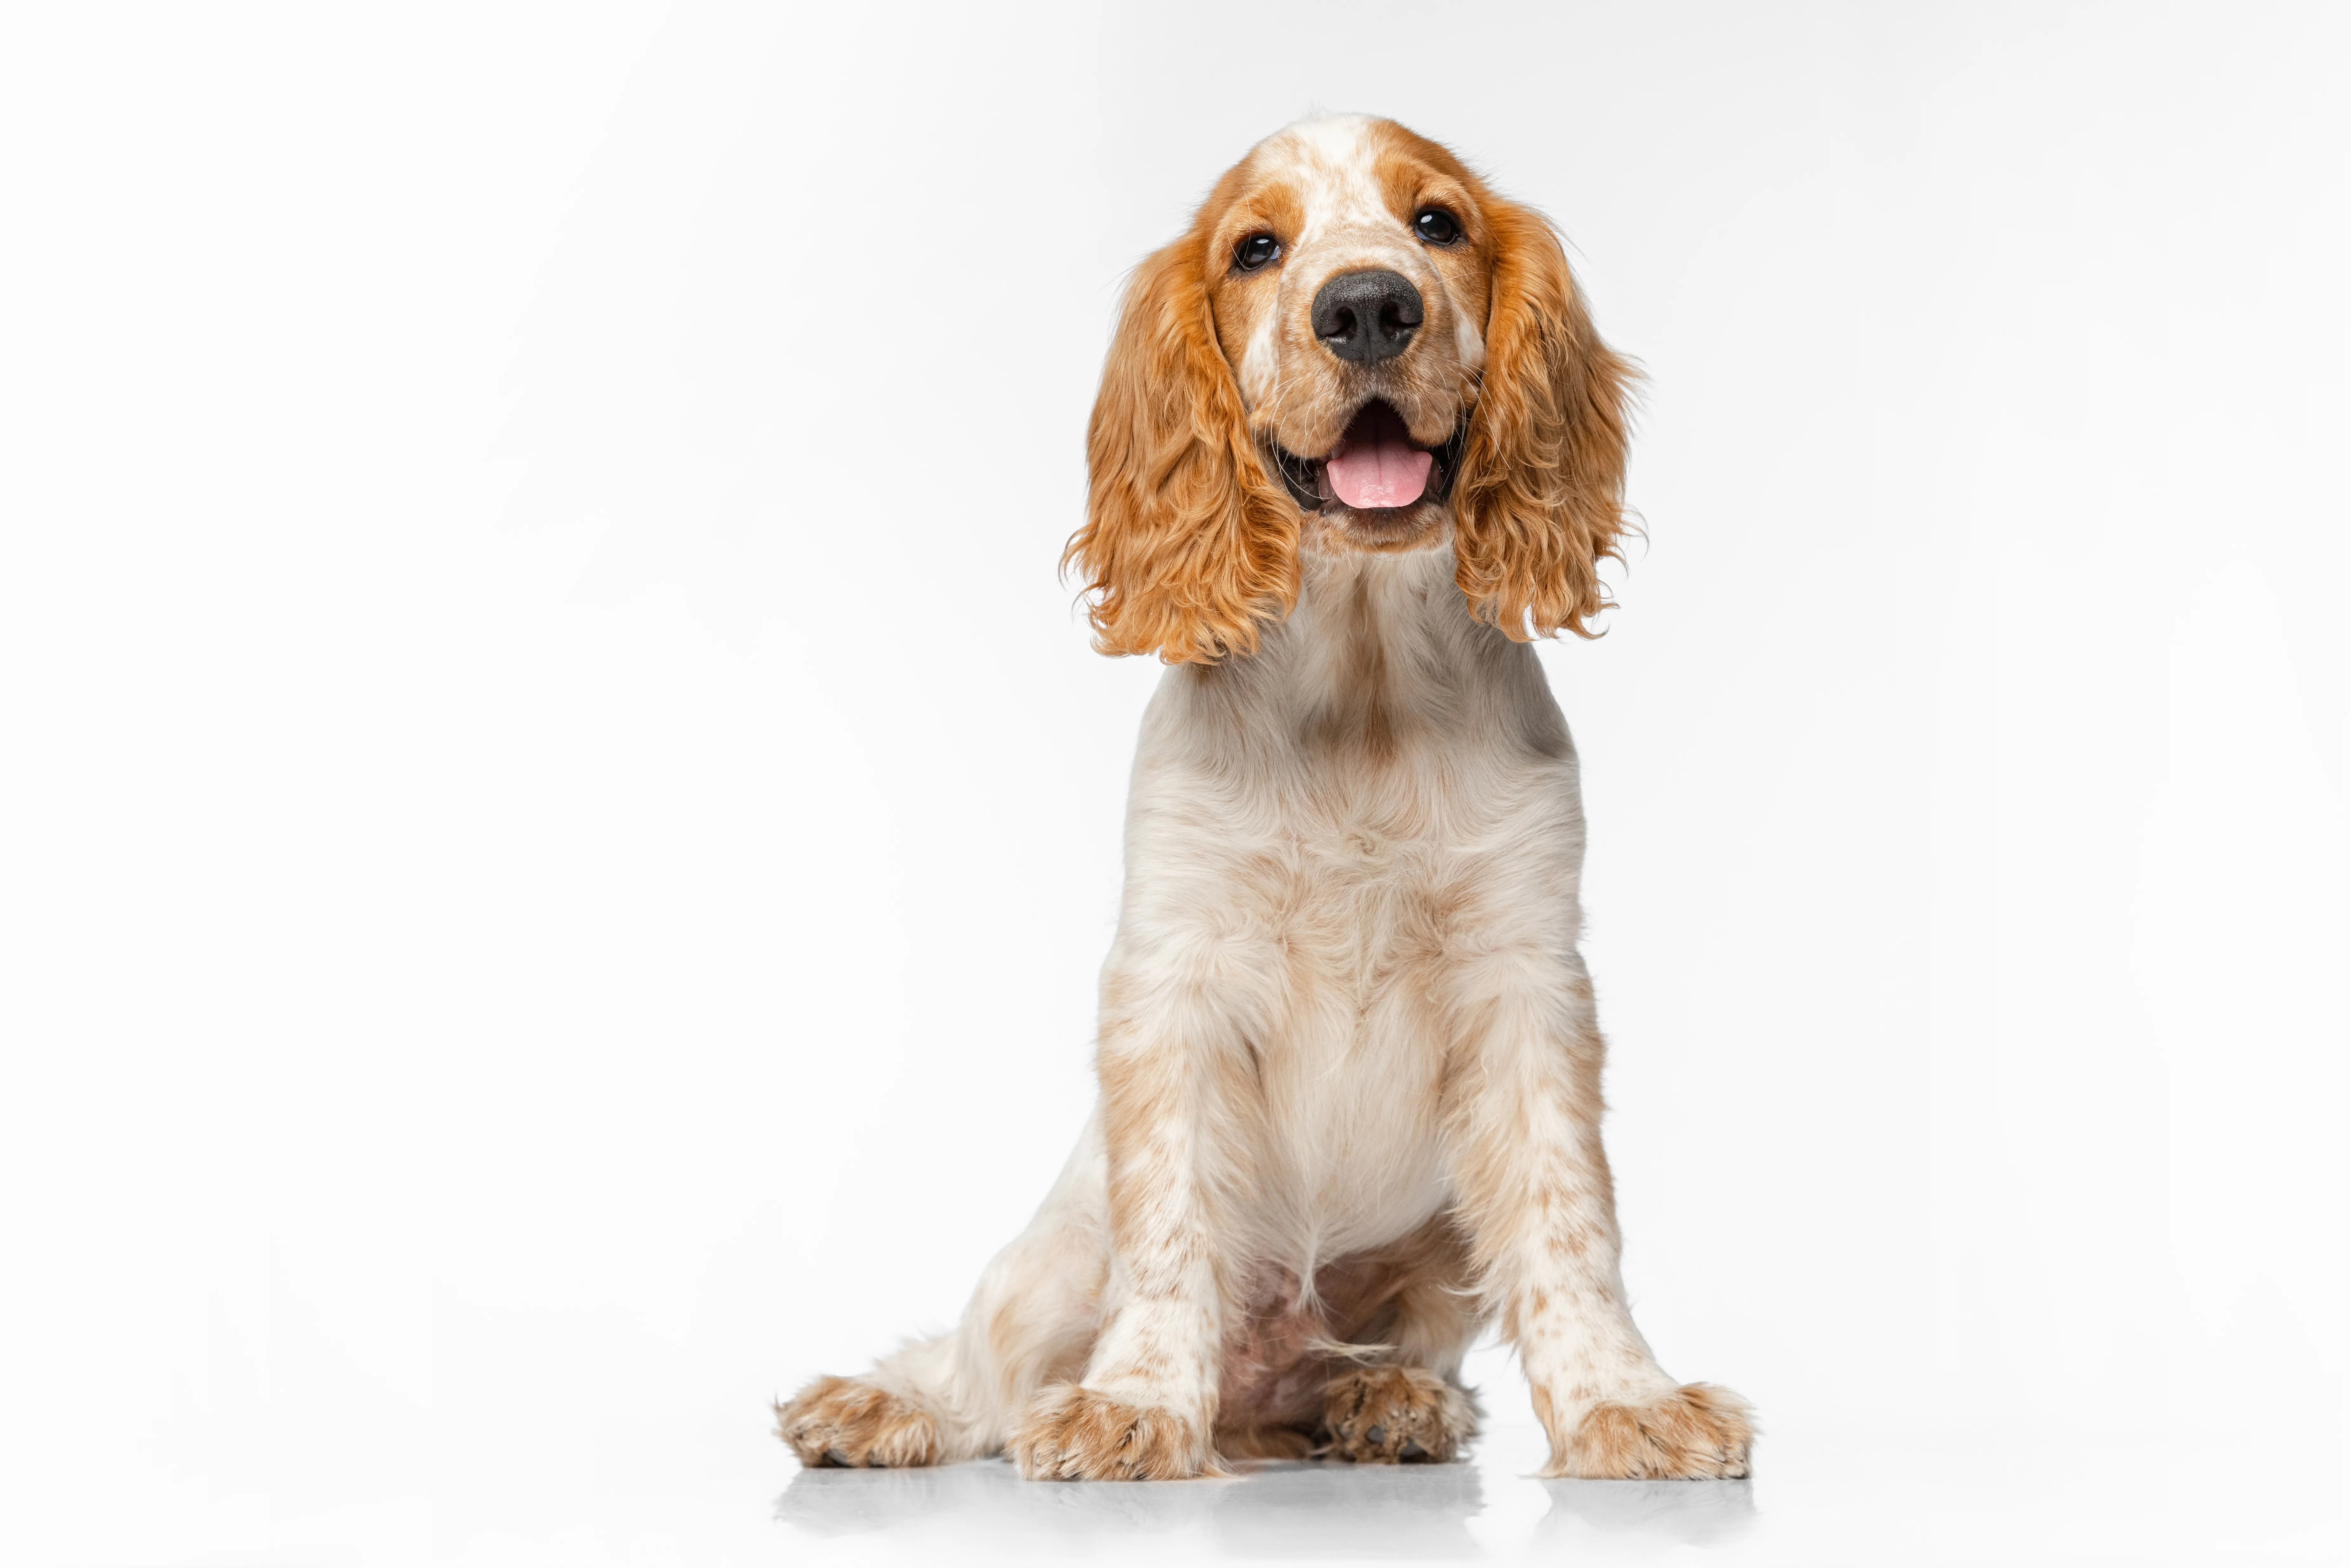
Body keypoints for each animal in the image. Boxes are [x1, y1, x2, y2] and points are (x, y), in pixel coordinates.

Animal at [780, 120, 1758, 1485]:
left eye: (1437, 224)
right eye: (1255, 247)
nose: (1368, 305)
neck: (1362, 687)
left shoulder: (1526, 977)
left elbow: (1571, 1224)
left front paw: (1625, 1400)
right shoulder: (1171, 977)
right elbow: (1172, 1219)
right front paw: (1135, 1402)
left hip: (1432, 1246)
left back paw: (1387, 1400)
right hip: (1045, 1264)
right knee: (981, 1369)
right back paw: (882, 1406)